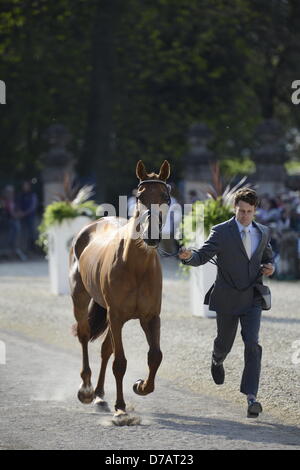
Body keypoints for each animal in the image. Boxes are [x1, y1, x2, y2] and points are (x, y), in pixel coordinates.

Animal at [68, 160, 171, 420]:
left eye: (165, 196)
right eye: (140, 196)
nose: (152, 234)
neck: (136, 267)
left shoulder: (150, 317)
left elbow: (155, 356)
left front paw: (142, 386)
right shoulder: (115, 316)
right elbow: (120, 363)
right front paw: (121, 407)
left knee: (106, 349)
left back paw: (99, 394)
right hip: (80, 298)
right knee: (84, 335)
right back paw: (87, 390)